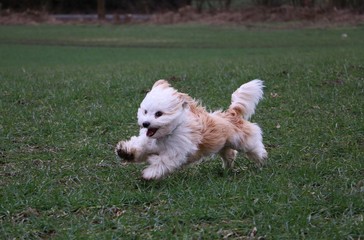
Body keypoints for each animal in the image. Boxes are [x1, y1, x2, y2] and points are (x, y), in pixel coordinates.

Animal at [116, 79, 268, 179]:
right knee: (229, 154)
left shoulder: (176, 152)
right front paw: (125, 152)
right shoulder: (149, 143)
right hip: (223, 144)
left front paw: (149, 174)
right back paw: (227, 168)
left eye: (159, 114)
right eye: (145, 111)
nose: (146, 123)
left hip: (242, 141)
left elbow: (163, 162)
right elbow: (139, 148)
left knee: (254, 147)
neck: (166, 134)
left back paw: (261, 160)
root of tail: (231, 114)